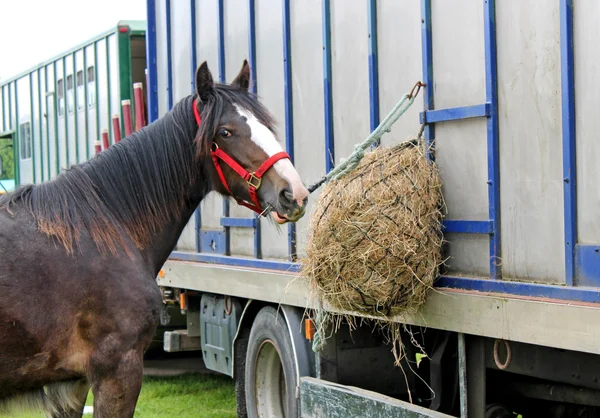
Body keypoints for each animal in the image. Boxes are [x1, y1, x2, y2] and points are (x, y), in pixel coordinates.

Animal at [0, 59, 310, 418]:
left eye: (267, 125)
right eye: (225, 132)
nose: (294, 193)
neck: (101, 228)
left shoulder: (71, 387)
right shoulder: (117, 371)